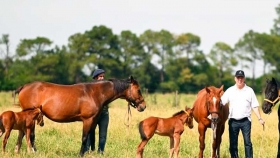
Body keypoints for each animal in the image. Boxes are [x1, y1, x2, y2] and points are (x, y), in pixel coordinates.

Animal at [13, 76, 147, 156]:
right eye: (139, 90)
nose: (143, 106)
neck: (95, 93)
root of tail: (24, 87)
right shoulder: (87, 120)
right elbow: (84, 138)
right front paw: (81, 154)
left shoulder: (93, 120)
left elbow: (91, 137)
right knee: (30, 134)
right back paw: (34, 152)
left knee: (23, 133)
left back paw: (17, 151)